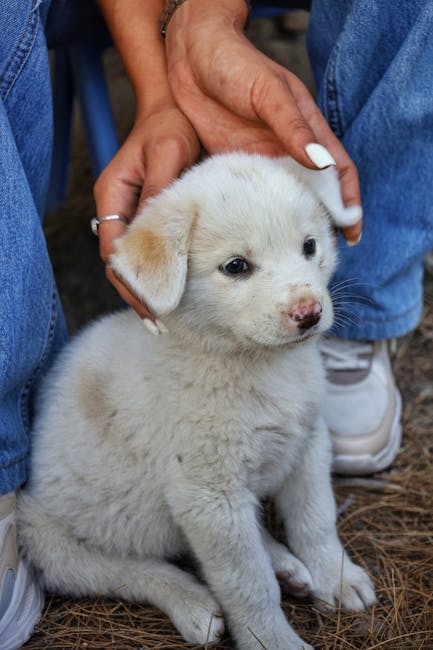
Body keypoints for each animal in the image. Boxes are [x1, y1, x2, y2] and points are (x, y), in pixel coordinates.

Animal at [17, 153, 374, 648]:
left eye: (309, 246)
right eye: (236, 266)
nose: (309, 312)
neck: (254, 365)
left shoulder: (307, 445)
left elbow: (316, 520)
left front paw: (336, 576)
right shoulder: (208, 495)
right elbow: (248, 584)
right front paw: (273, 639)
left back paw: (284, 565)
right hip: (49, 537)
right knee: (125, 570)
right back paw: (193, 603)